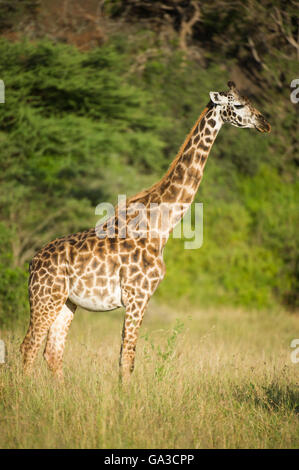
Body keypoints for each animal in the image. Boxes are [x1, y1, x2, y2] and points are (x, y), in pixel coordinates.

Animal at [19, 81, 270, 382]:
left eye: (251, 100)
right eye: (239, 104)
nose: (265, 123)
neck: (160, 227)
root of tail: (32, 263)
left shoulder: (137, 298)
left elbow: (125, 359)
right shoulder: (138, 296)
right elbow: (127, 359)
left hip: (66, 301)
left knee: (52, 352)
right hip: (45, 297)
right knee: (29, 347)